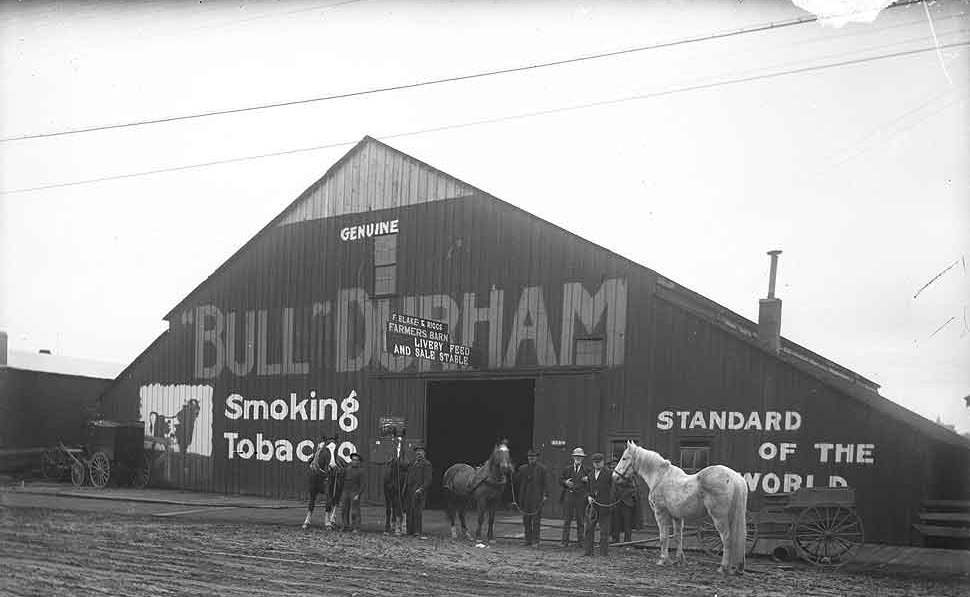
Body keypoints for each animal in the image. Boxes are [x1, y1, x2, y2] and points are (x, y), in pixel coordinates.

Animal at [616, 440, 744, 576]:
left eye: (624, 458)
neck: (660, 477)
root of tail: (734, 477)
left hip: (719, 518)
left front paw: (663, 560)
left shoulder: (661, 513)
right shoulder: (677, 517)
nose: (615, 476)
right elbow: (678, 537)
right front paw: (679, 560)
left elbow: (663, 537)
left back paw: (723, 568)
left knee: (726, 539)